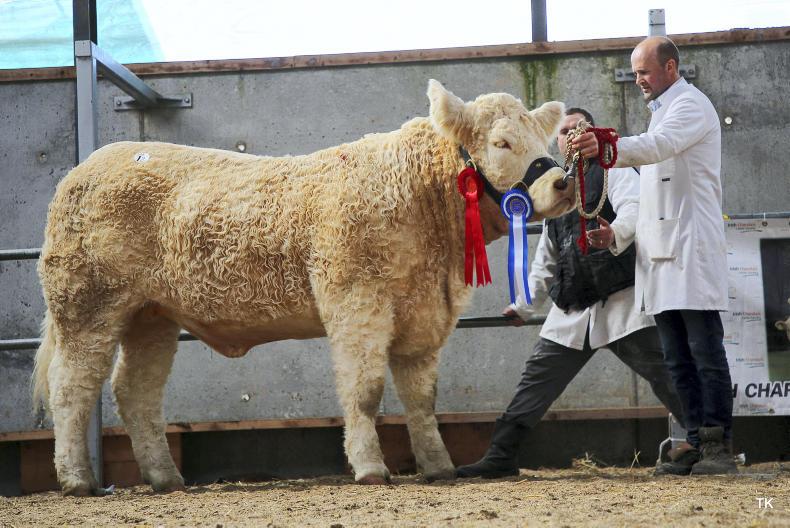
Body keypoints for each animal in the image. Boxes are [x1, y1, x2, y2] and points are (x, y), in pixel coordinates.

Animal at [32, 80, 574, 495]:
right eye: (502, 143)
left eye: (542, 141)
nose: (563, 182)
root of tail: (89, 166)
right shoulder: (356, 300)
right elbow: (365, 390)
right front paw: (370, 469)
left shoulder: (423, 315)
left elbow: (422, 398)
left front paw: (438, 467)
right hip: (86, 303)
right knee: (72, 386)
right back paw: (78, 480)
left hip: (151, 315)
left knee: (135, 391)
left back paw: (166, 478)